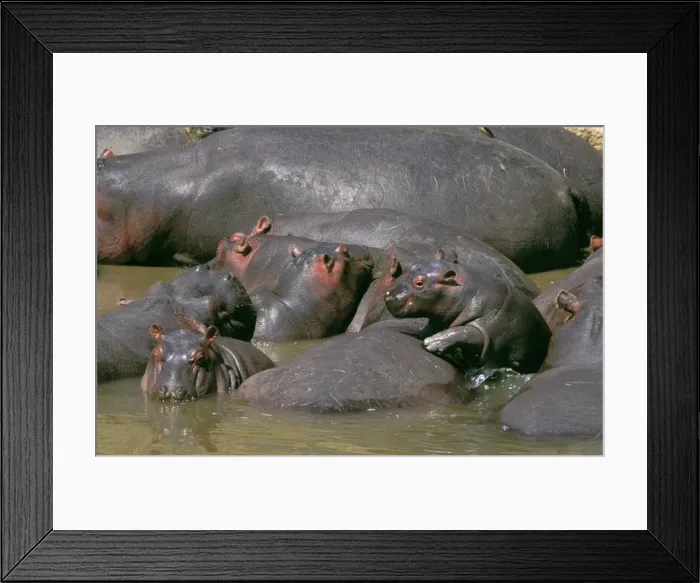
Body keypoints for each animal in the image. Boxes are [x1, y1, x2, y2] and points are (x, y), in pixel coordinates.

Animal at [384, 251, 552, 378]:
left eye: (419, 283)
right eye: (413, 267)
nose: (388, 296)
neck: (466, 290)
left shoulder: (490, 324)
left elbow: (466, 332)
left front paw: (432, 342)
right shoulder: (440, 318)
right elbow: (432, 325)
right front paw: (420, 334)